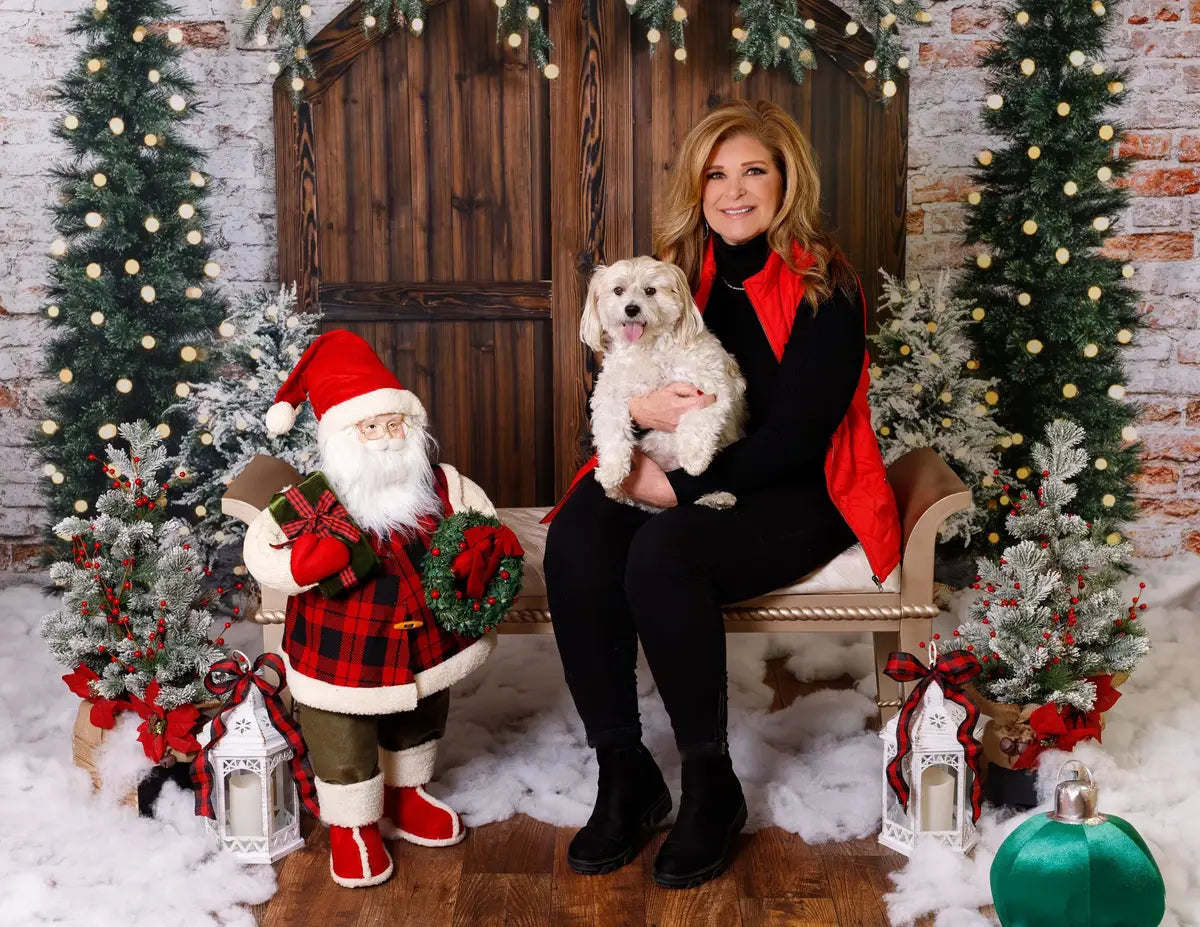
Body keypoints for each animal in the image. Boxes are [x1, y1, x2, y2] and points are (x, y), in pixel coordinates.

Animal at [578, 256, 739, 511]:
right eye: (618, 290)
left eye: (650, 290)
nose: (631, 309)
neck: (648, 347)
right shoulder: (609, 393)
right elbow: (612, 428)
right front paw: (611, 469)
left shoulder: (709, 388)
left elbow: (697, 419)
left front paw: (694, 457)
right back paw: (616, 491)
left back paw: (718, 498)